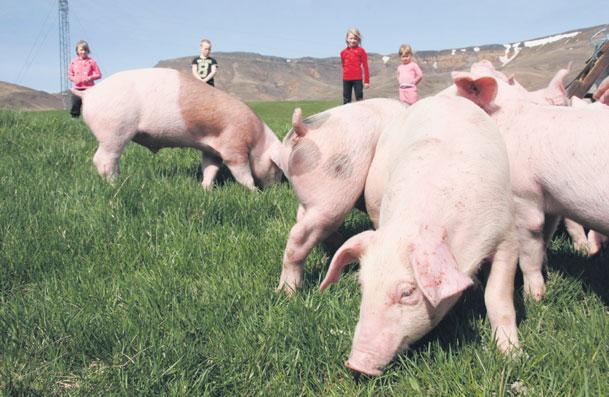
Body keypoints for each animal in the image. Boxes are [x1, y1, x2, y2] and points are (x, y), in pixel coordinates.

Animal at [75, 67, 282, 189]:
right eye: (276, 167)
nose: (275, 189)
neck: (257, 140)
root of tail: (89, 93)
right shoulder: (234, 146)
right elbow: (242, 172)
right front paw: (255, 192)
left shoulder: (211, 150)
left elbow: (210, 168)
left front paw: (205, 189)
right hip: (114, 131)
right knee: (103, 159)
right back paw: (115, 184)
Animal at [274, 98, 408, 292]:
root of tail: (304, 130)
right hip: (334, 194)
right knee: (299, 234)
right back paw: (289, 291)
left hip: (311, 197)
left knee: (306, 222)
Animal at [318, 95, 516, 374]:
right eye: (362, 286)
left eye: (408, 292)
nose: (356, 363)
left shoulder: (507, 233)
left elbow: (498, 297)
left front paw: (512, 356)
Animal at [446, 61, 608, 300]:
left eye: (456, 94)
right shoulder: (549, 200)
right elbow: (544, 239)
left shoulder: (523, 197)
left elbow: (530, 246)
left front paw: (534, 297)